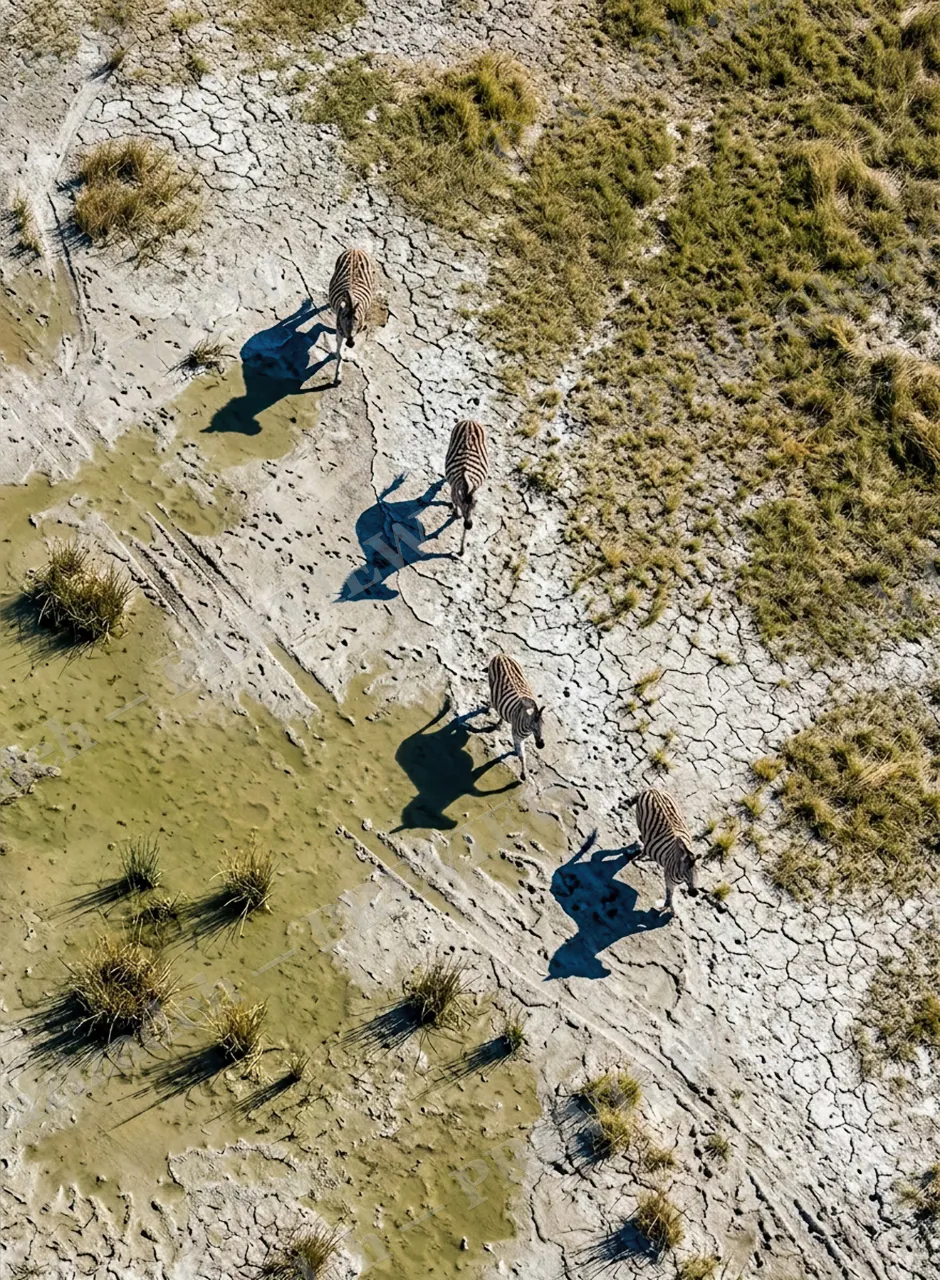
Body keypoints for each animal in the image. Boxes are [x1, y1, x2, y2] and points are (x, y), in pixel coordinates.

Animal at [327, 247, 376, 385]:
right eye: (344, 317)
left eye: (356, 319)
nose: (350, 343)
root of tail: (355, 249)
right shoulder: (341, 332)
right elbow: (340, 353)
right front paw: (337, 377)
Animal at [445, 419, 489, 556]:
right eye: (463, 505)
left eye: (475, 506)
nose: (469, 526)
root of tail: (470, 421)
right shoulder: (455, 492)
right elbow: (454, 502)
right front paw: (456, 513)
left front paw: (461, 549)